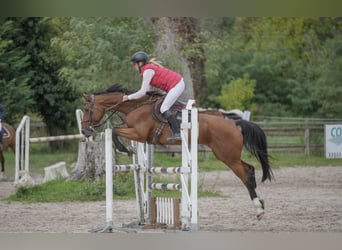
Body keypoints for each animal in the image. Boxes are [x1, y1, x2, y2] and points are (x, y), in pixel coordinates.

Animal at [81, 83, 274, 219]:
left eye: (87, 109)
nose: (85, 132)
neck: (136, 106)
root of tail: (234, 122)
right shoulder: (139, 136)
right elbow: (115, 131)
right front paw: (127, 150)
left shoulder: (139, 133)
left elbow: (114, 130)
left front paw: (124, 149)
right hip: (228, 154)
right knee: (250, 169)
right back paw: (261, 204)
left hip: (226, 155)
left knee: (245, 172)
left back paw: (259, 209)